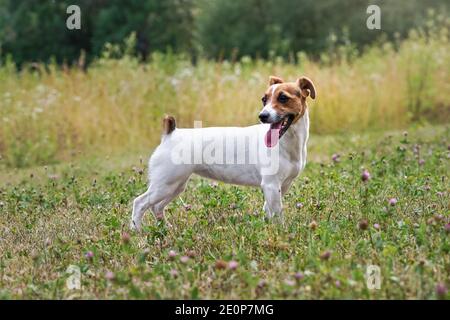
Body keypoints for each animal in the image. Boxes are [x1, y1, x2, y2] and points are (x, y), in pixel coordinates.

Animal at [130, 75, 314, 230]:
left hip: (175, 186)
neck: (286, 143)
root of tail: (170, 134)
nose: (262, 116)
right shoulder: (271, 185)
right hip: (164, 184)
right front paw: (280, 232)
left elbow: (268, 210)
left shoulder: (282, 186)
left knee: (157, 206)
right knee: (140, 203)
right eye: (264, 100)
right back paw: (137, 232)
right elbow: (277, 214)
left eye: (283, 98)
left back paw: (165, 228)